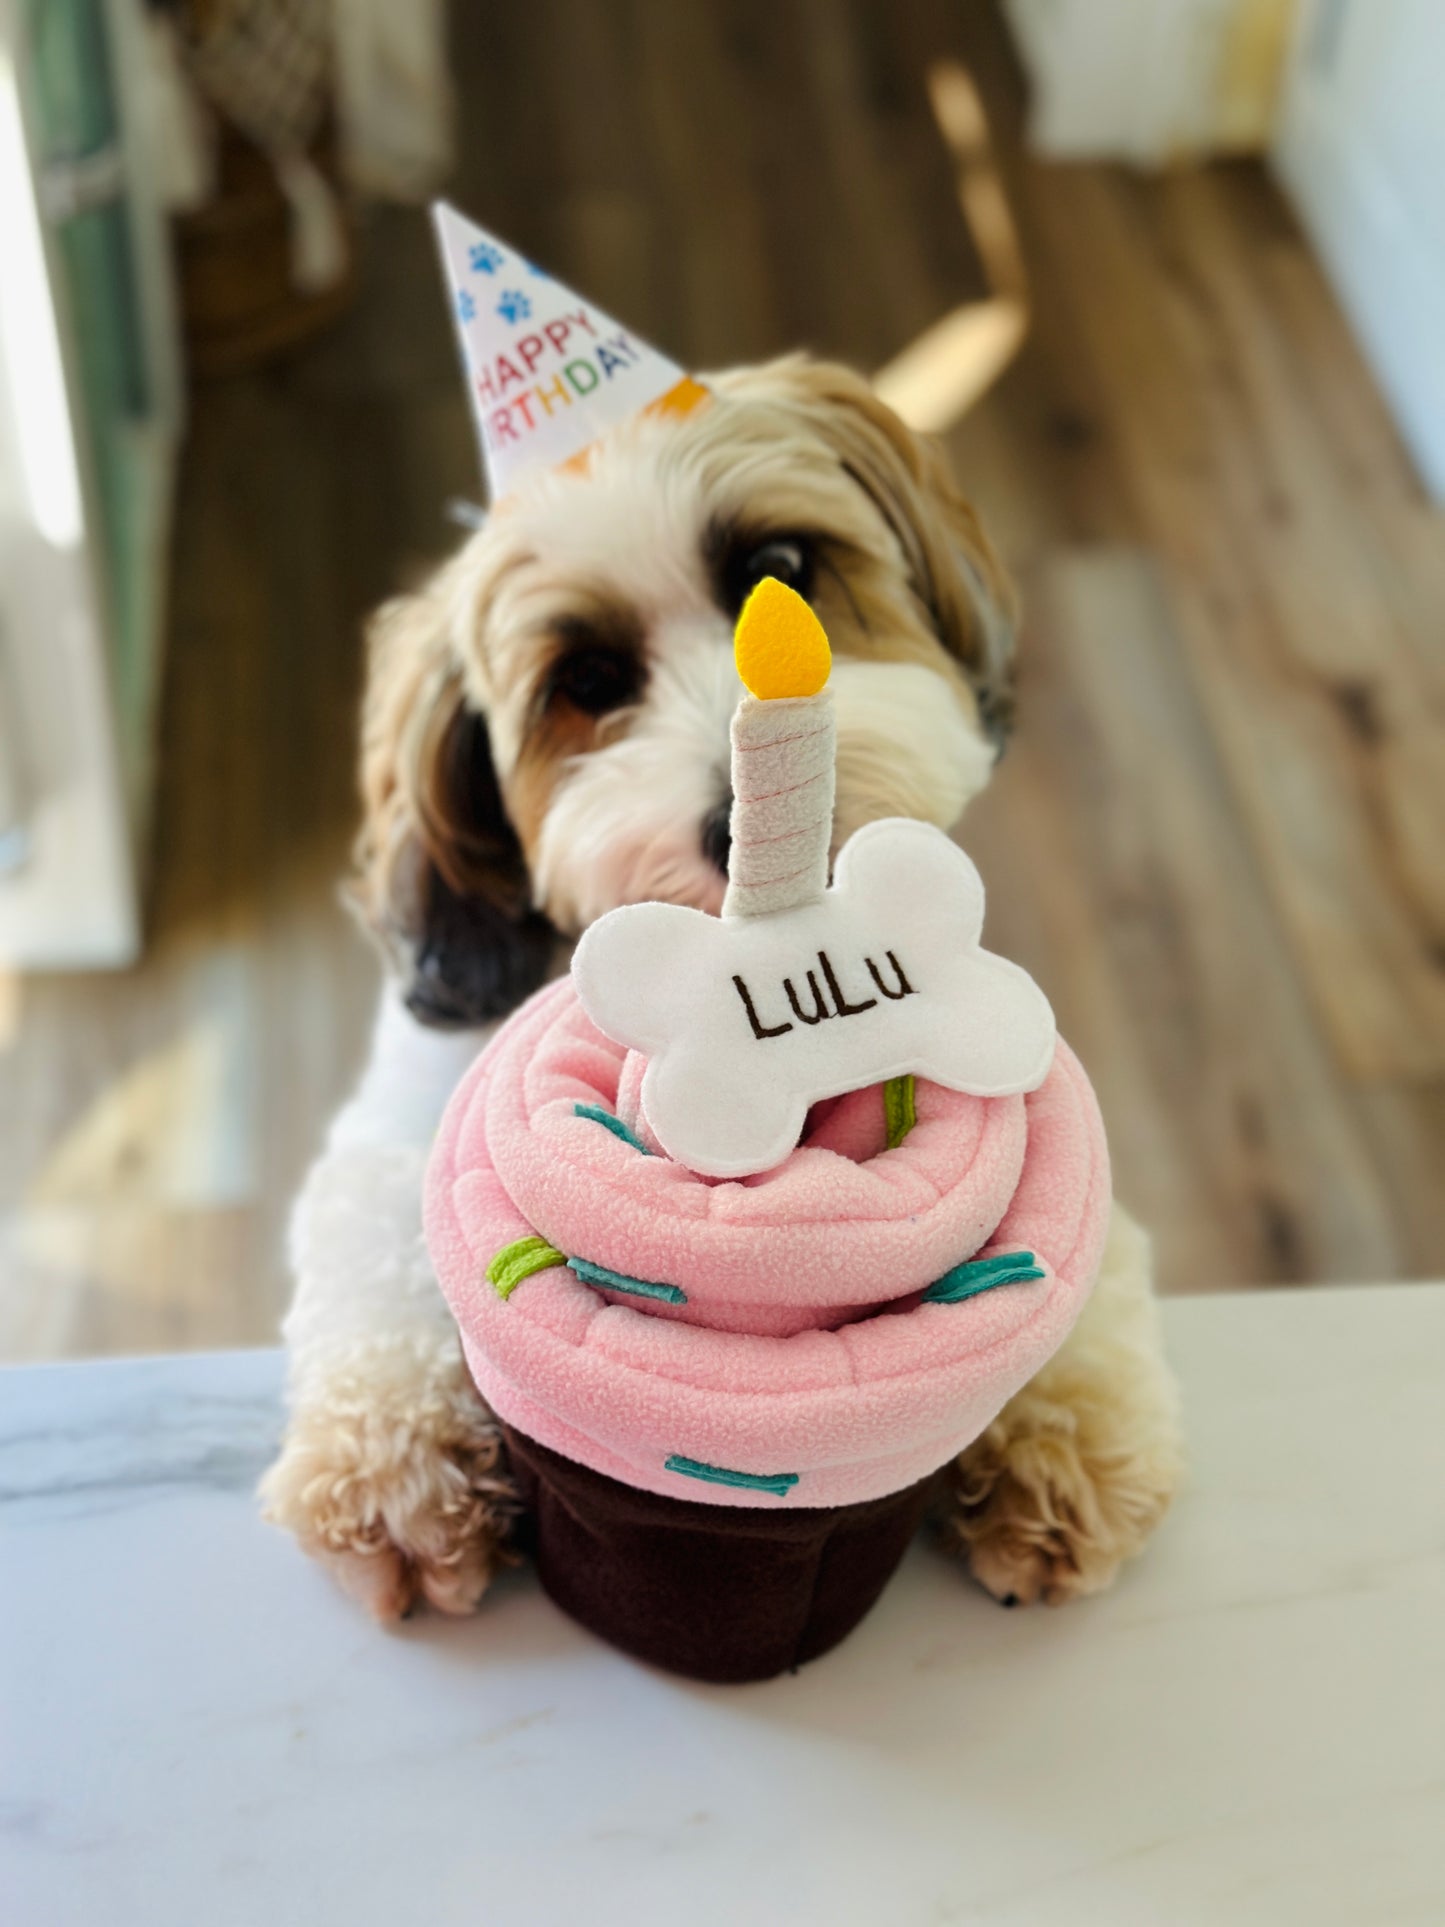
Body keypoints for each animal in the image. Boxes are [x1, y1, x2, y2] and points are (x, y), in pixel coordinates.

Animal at [260, 358, 1186, 1626]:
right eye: (585, 678)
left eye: (780, 569)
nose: (735, 825)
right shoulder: (401, 1127)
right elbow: (381, 1240)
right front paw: (395, 1469)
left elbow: (1089, 1246)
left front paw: (1067, 1428)